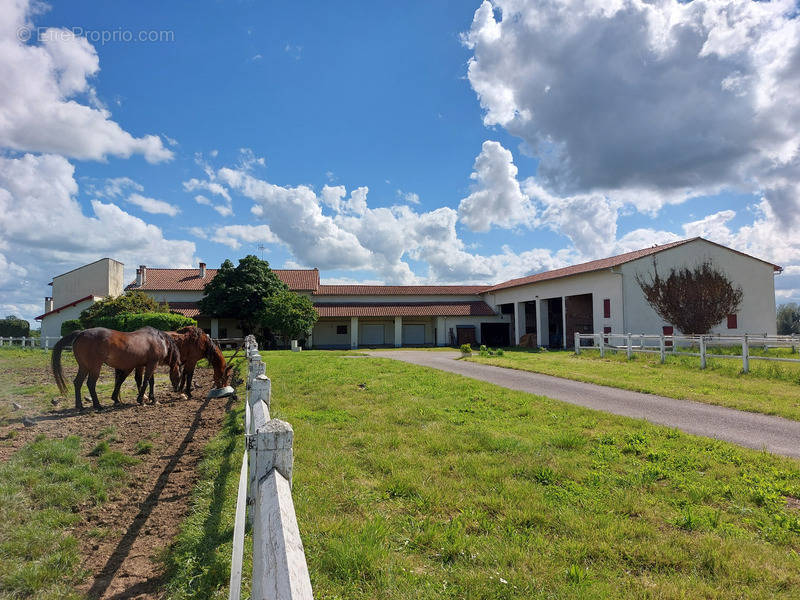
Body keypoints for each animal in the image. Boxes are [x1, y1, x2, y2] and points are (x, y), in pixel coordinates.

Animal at [51, 326, 180, 410]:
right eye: (179, 374)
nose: (177, 389)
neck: (158, 339)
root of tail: (81, 333)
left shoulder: (144, 365)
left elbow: (148, 381)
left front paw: (152, 399)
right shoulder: (152, 364)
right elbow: (145, 382)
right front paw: (141, 400)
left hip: (84, 367)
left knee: (78, 382)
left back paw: (80, 406)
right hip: (95, 367)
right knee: (91, 384)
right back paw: (98, 405)